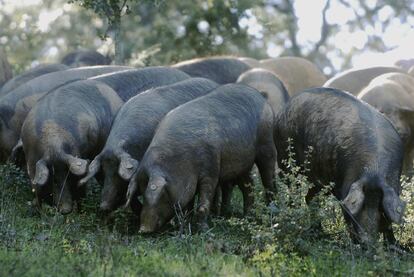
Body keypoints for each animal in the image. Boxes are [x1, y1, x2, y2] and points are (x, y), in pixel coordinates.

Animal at [124, 83, 276, 232]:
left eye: (160, 194)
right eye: (142, 193)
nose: (143, 229)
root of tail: (259, 95)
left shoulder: (211, 168)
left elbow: (203, 204)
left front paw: (204, 231)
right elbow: (188, 205)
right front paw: (184, 226)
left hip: (267, 143)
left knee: (269, 179)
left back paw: (272, 212)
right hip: (241, 164)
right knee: (248, 185)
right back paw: (246, 217)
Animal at [274, 87, 406, 244]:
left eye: (380, 207)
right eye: (361, 205)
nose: (367, 240)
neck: (374, 170)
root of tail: (285, 107)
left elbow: (389, 224)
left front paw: (394, 245)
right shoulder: (343, 187)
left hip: (319, 179)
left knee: (310, 198)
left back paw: (319, 232)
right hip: (285, 158)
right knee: (292, 188)